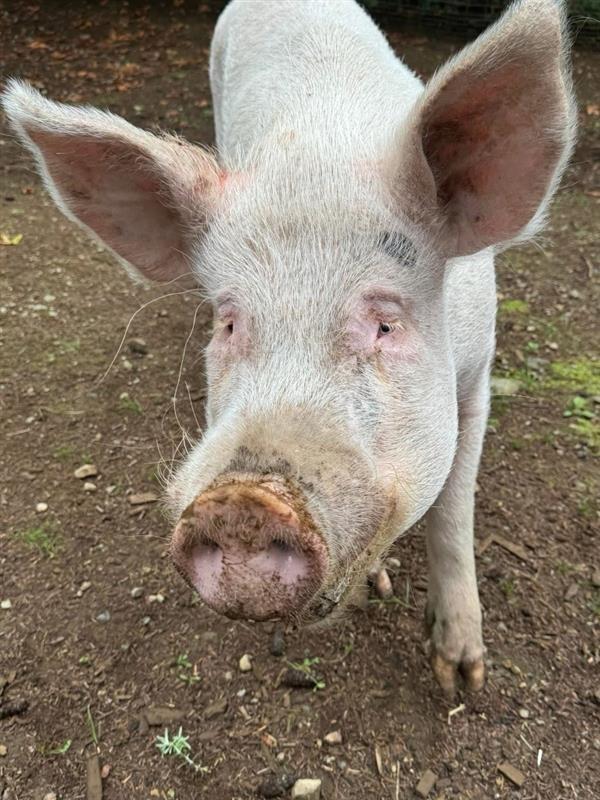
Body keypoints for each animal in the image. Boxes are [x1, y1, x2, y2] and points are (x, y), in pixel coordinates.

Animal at [2, 0, 575, 696]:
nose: (242, 503)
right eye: (227, 324)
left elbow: (452, 510)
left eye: (386, 324)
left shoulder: (478, 374)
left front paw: (461, 675)